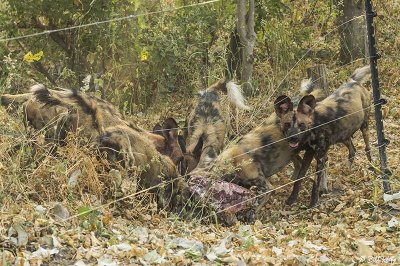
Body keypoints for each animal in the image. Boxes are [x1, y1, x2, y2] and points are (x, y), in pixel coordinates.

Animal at [276, 65, 374, 207]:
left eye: (301, 124)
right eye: (287, 124)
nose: (293, 138)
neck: (313, 125)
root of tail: (353, 82)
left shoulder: (320, 156)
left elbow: (316, 183)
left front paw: (313, 203)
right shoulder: (310, 152)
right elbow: (299, 177)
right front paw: (292, 199)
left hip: (364, 127)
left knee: (367, 148)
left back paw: (372, 166)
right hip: (343, 135)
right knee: (352, 150)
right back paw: (347, 170)